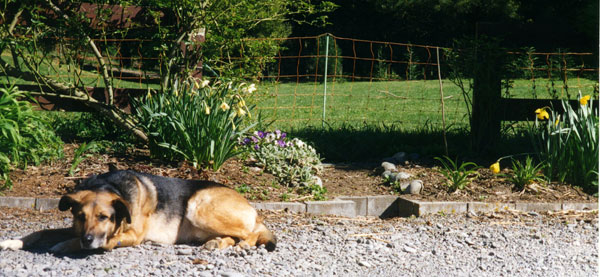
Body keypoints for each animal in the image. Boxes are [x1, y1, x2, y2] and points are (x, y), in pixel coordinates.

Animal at [0, 168, 276, 252]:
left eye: (104, 217)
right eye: (80, 216)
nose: (87, 240)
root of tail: (253, 209)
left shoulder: (131, 235)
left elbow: (99, 241)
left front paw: (64, 246)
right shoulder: (76, 228)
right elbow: (39, 233)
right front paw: (13, 242)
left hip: (199, 207)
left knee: (250, 233)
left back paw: (241, 243)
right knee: (238, 234)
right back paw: (218, 243)